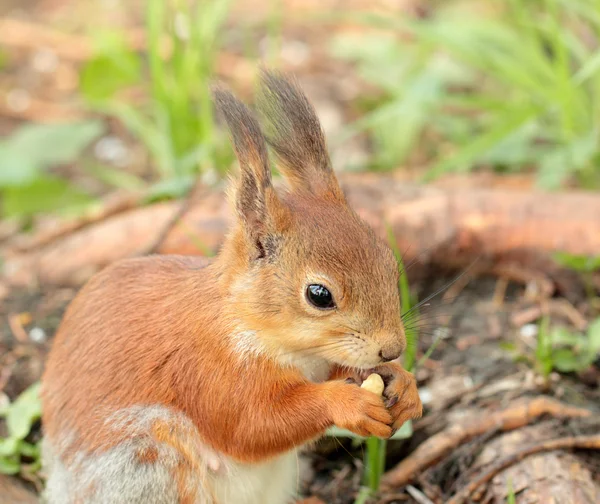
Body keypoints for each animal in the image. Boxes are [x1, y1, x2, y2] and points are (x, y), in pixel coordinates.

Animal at [41, 71, 422, 504]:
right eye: (319, 295)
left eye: (389, 263)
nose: (392, 348)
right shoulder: (208, 369)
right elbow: (251, 426)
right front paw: (346, 402)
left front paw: (403, 383)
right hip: (145, 464)